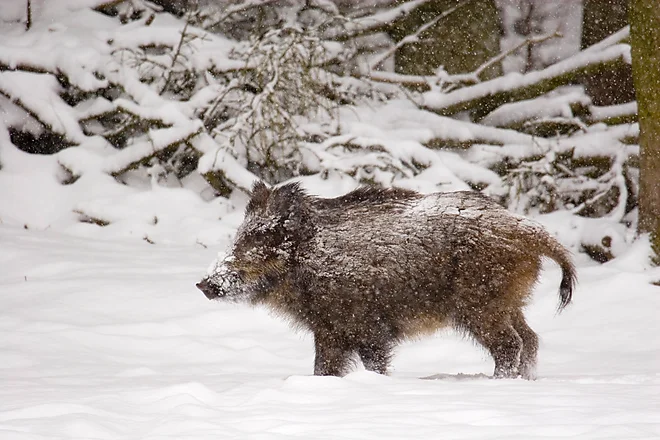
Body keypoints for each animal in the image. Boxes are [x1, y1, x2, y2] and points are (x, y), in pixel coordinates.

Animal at [196, 181, 576, 379]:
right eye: (240, 236)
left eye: (258, 240)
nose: (203, 284)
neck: (308, 256)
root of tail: (527, 230)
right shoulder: (330, 330)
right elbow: (324, 367)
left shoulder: (365, 327)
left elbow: (371, 364)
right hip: (509, 303)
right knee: (531, 339)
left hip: (481, 305)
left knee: (510, 344)